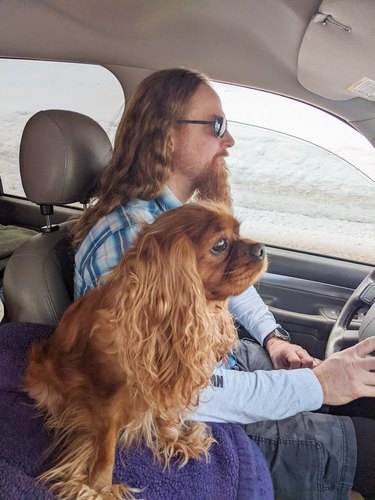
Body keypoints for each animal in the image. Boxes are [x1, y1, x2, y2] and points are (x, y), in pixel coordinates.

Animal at [25, 202, 268, 496]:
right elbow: (106, 445)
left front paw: (175, 439)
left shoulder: (162, 384)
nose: (262, 249)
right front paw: (98, 487)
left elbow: (164, 415)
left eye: (239, 233)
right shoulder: (107, 396)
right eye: (220, 245)